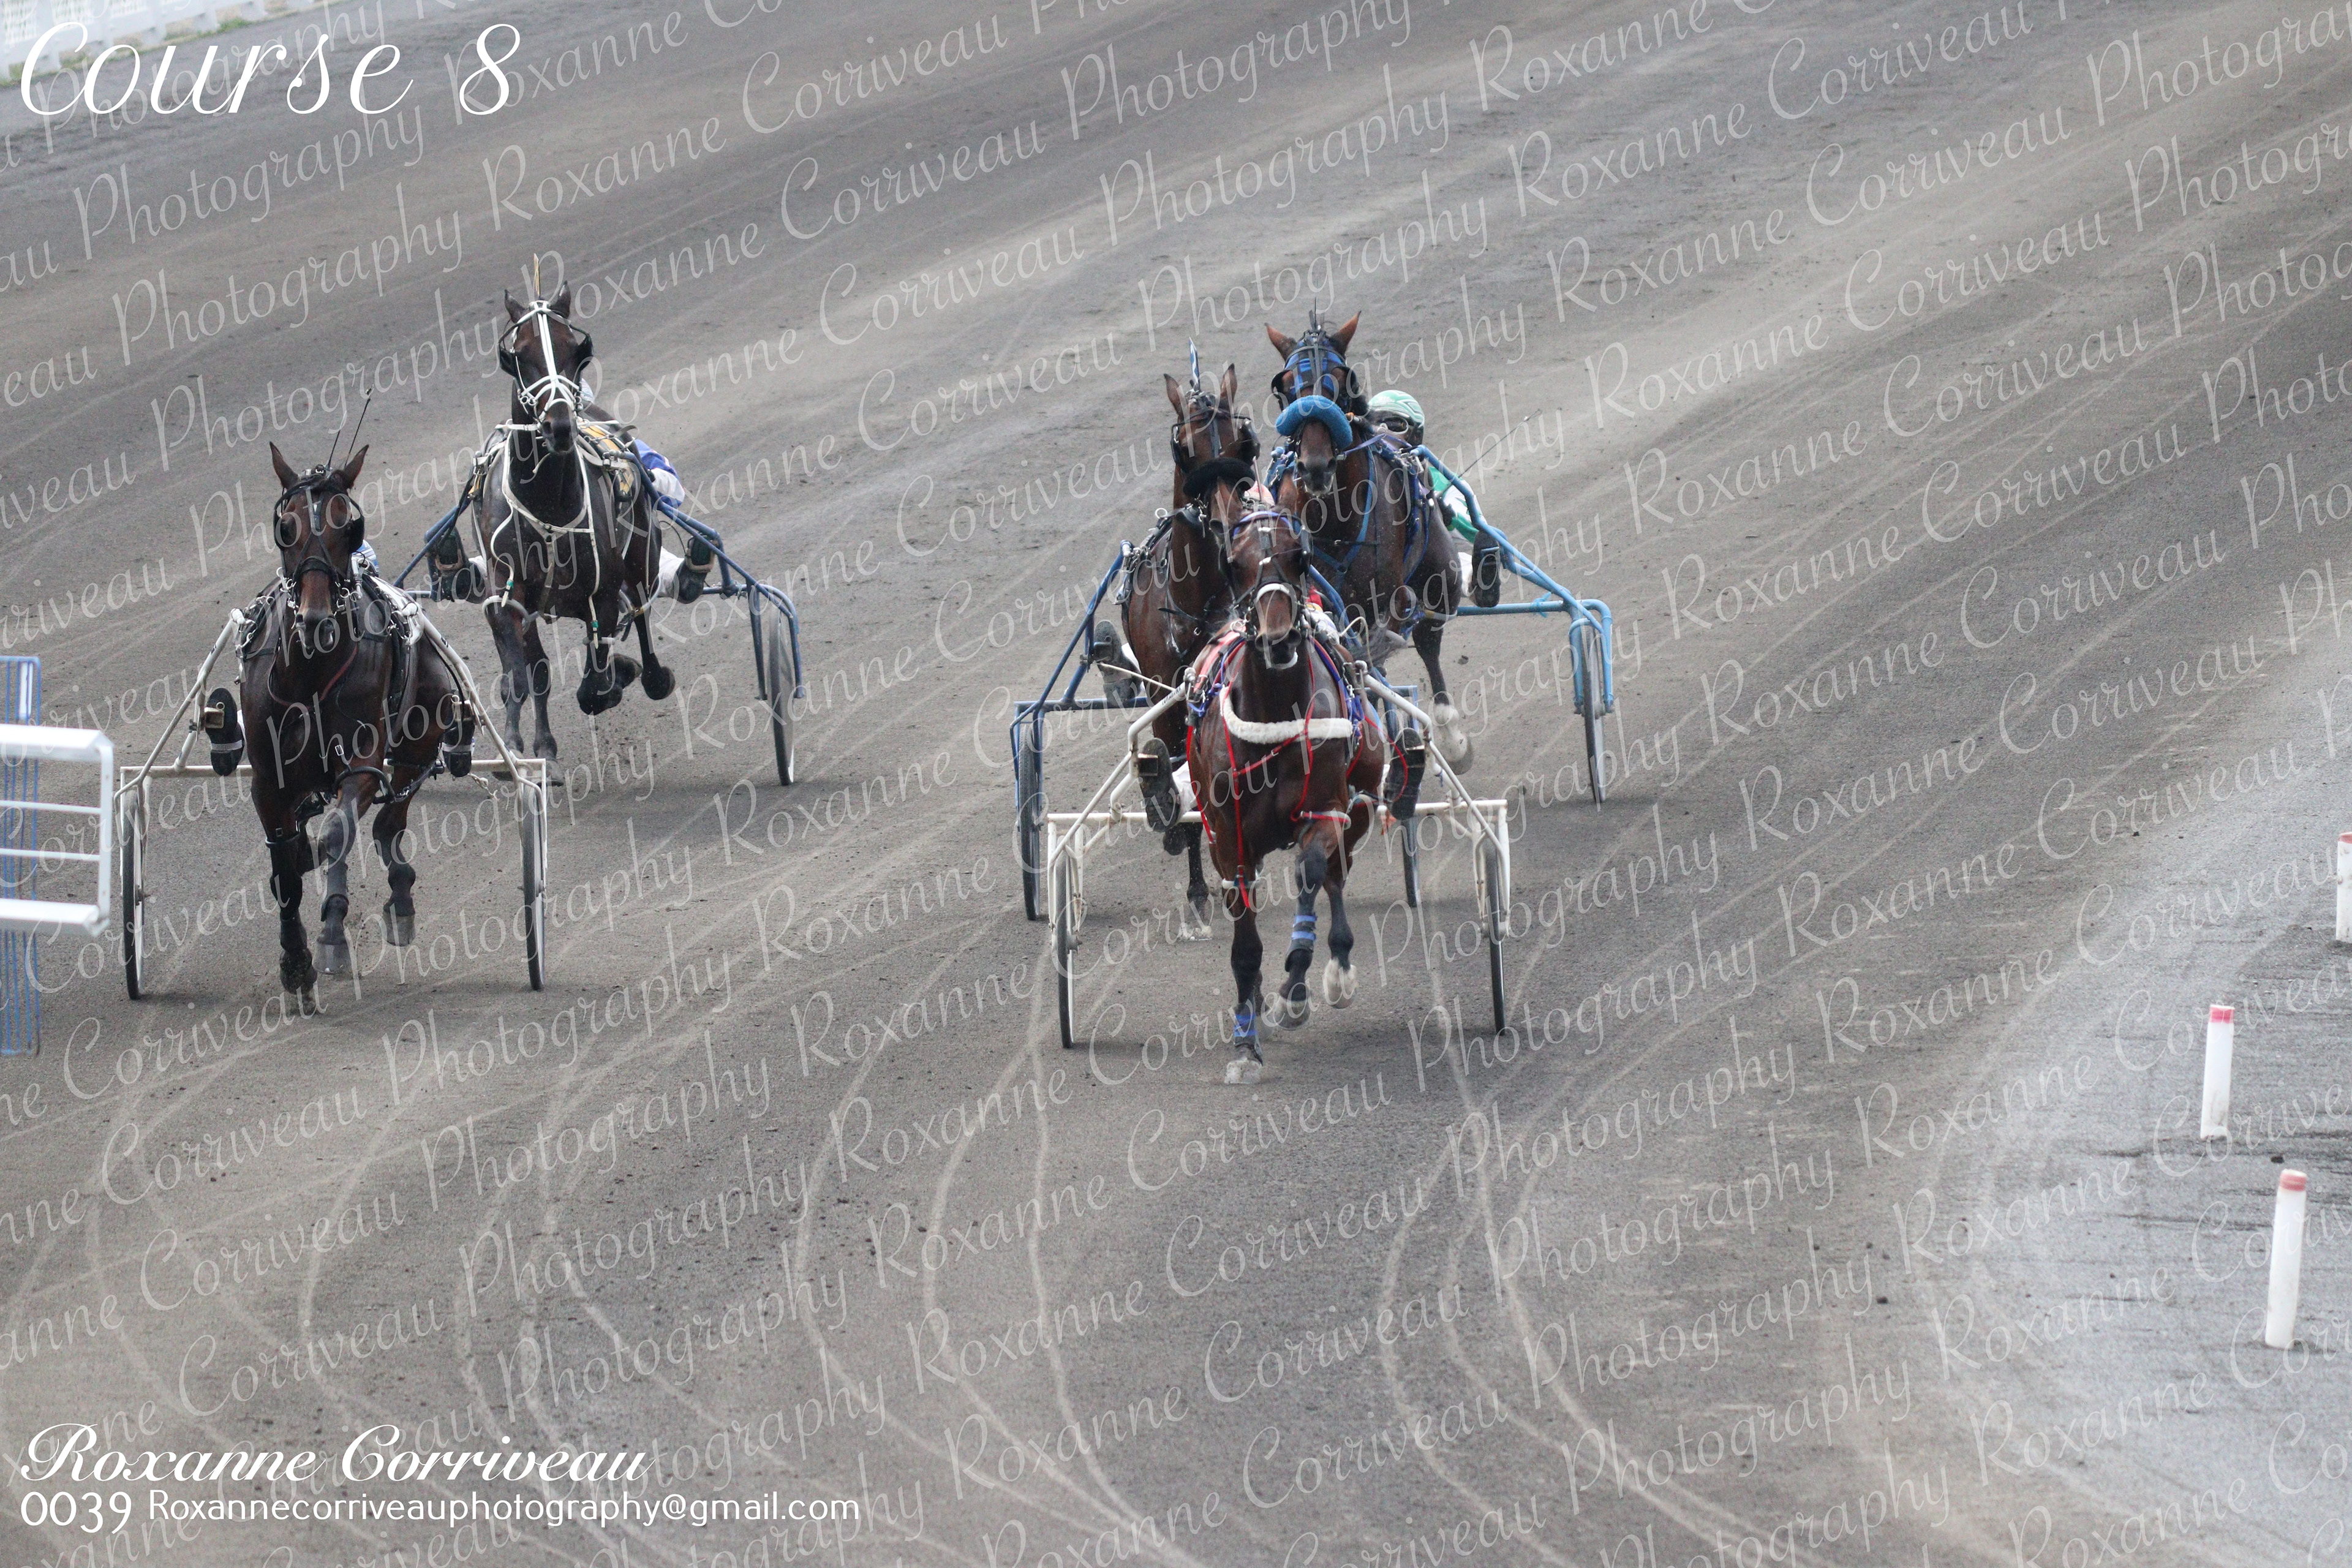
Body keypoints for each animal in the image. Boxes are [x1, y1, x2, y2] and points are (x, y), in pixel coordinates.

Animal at [225, 443, 473, 1010]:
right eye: (286, 526)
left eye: (349, 527)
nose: (316, 619)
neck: (311, 671)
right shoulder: (267, 780)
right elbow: (284, 869)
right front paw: (295, 963)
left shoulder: (360, 763)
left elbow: (341, 830)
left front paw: (332, 934)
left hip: (424, 729)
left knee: (390, 819)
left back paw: (399, 894)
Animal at [476, 285, 674, 760]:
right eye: (520, 353)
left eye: (575, 349)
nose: (560, 425)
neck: (547, 503)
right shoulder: (507, 589)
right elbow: (525, 670)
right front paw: (523, 740)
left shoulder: (601, 589)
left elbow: (595, 685)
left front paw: (618, 675)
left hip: (642, 554)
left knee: (640, 610)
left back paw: (650, 674)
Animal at [1186, 503, 1385, 1084]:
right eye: (1233, 564)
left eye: (1300, 557)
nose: (1277, 641)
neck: (1274, 711)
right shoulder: (1228, 836)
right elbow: (1244, 937)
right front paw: (1245, 1043)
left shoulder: (1327, 808)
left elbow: (1311, 873)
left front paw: (1294, 990)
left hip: (1359, 802)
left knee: (1336, 877)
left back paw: (1336, 967)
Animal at [1264, 312, 1472, 769]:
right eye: (1286, 385)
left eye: (1342, 380)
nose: (1316, 466)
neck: (1333, 518)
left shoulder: (1388, 599)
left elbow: (1383, 643)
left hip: (1441, 574)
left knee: (1428, 637)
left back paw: (1450, 736)